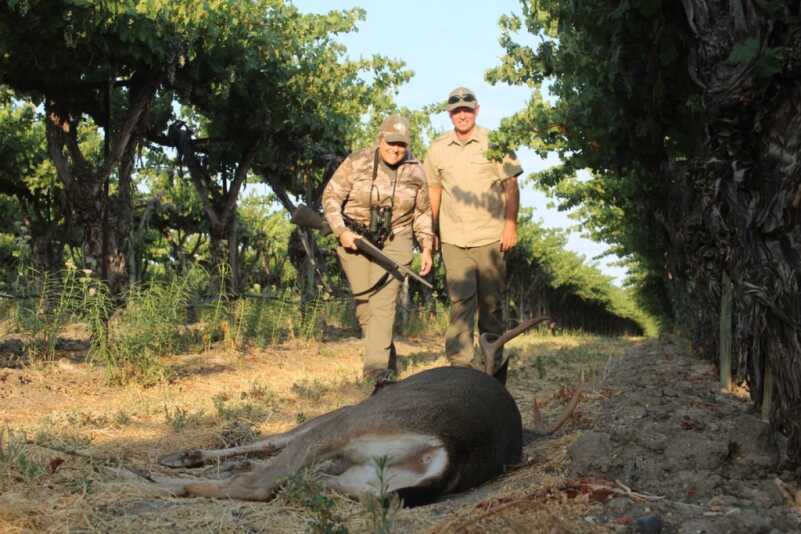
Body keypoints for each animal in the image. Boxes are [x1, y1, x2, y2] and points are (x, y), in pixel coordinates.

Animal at [127, 316, 578, 505]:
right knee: (302, 482)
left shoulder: (339, 412)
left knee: (260, 484)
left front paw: (181, 456)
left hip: (353, 422)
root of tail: (452, 452)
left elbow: (272, 438)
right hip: (368, 480)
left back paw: (154, 481)